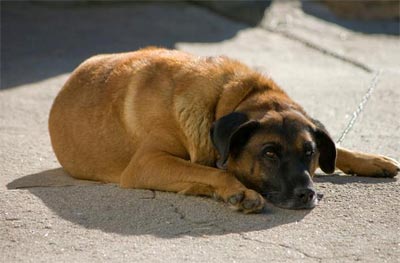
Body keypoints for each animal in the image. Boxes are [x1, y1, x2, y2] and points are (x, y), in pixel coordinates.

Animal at [48, 47, 398, 213]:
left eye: (309, 153)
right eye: (269, 153)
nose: (307, 194)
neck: (228, 98)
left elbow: (337, 148)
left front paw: (371, 161)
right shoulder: (147, 163)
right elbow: (211, 171)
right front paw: (237, 190)